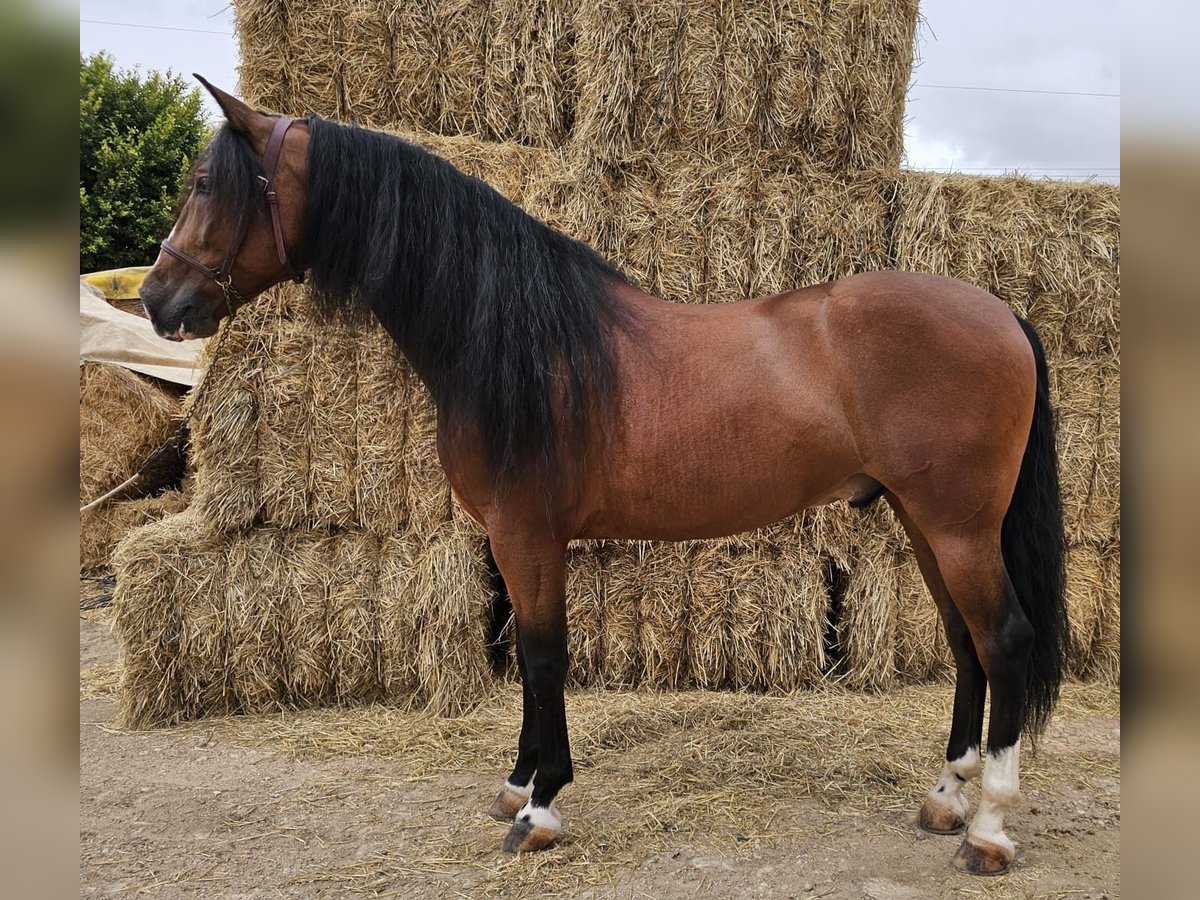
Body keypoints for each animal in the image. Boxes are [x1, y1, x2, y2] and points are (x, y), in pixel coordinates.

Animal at [140, 79, 1070, 883]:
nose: (158, 298)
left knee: (1005, 642)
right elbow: (523, 654)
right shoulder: (506, 539)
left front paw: (541, 808)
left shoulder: (528, 533)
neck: (516, 341)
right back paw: (945, 799)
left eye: (206, 184)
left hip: (957, 526)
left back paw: (989, 828)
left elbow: (544, 655)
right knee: (965, 645)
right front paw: (517, 784)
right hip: (923, 520)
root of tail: (1001, 313)